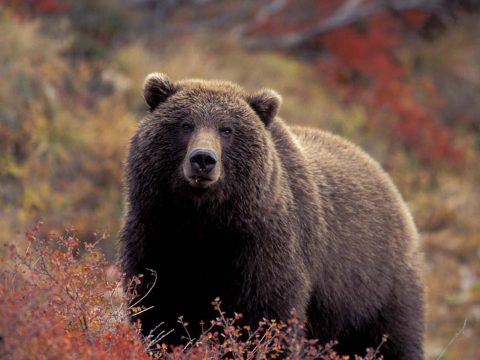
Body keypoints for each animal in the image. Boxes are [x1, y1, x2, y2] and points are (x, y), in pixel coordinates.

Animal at [119, 73, 424, 358]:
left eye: (227, 129)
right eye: (185, 124)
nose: (203, 159)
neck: (205, 222)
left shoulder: (263, 248)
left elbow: (266, 320)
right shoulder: (156, 235)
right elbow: (159, 313)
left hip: (376, 285)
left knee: (393, 340)